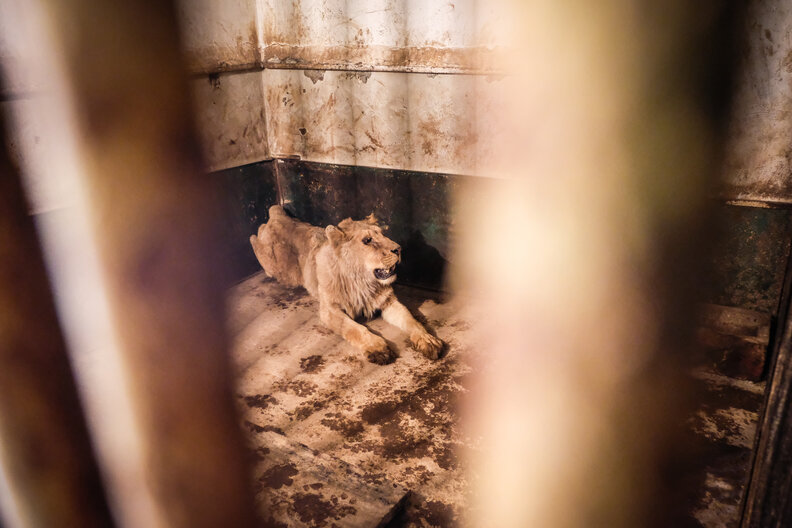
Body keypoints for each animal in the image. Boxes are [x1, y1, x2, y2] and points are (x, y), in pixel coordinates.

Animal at [249, 205, 444, 364]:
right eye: (367, 240)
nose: (399, 249)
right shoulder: (329, 310)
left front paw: (427, 340)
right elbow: (354, 328)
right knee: (254, 237)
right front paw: (377, 348)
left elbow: (412, 321)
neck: (361, 281)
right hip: (278, 267)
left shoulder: (389, 302)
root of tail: (278, 214)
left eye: (383, 234)